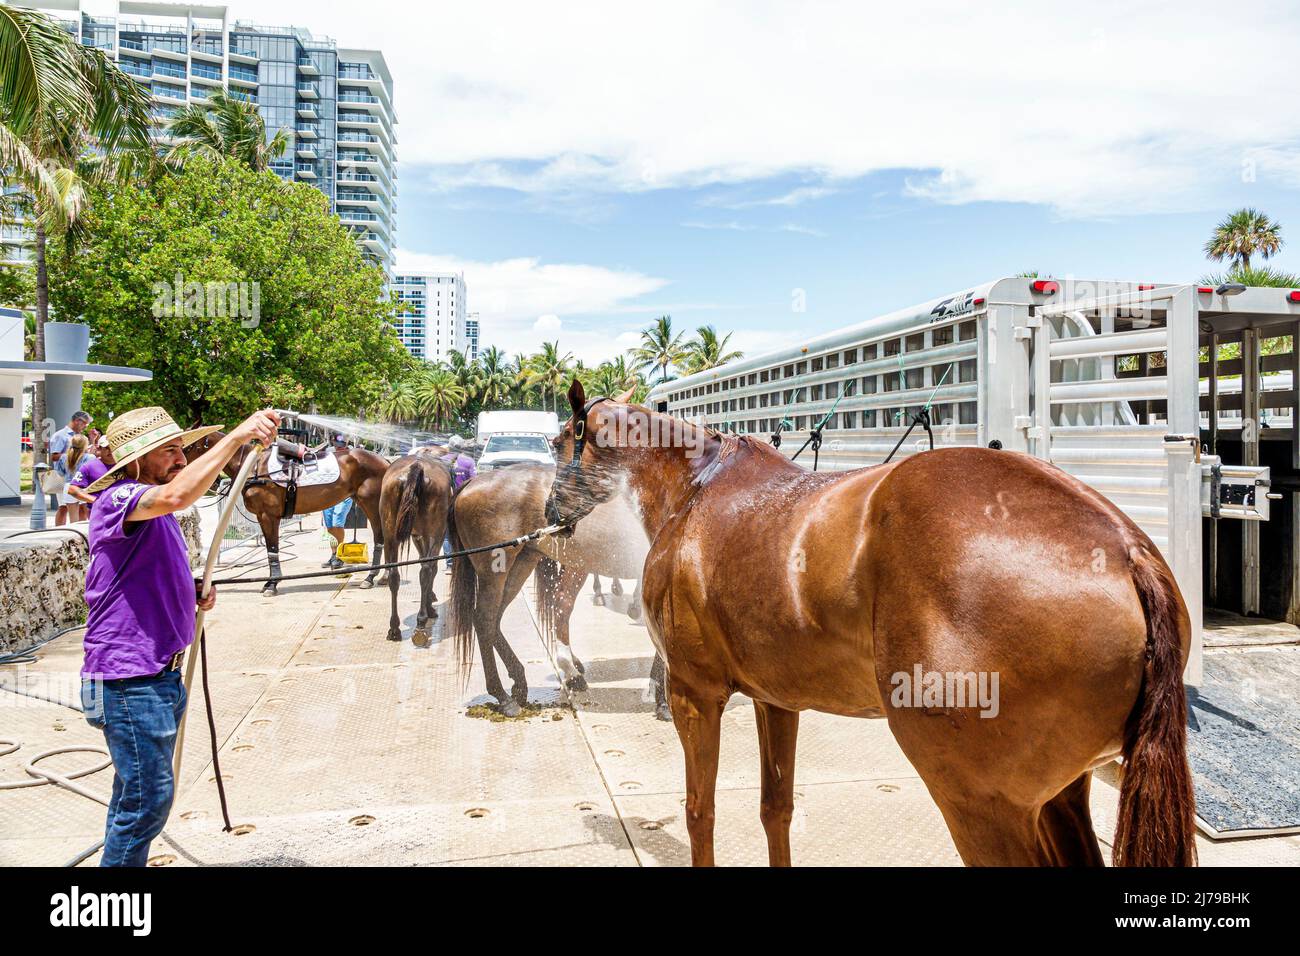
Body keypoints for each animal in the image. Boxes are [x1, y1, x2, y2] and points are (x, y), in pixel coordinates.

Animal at [187, 434, 390, 598]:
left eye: (187, 447)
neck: (253, 467)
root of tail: (385, 461)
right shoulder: (264, 517)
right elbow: (271, 550)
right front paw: (271, 582)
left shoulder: (268, 516)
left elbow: (273, 549)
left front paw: (272, 584)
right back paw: (384, 576)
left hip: (371, 505)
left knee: (381, 537)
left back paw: (371, 577)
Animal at [379, 450, 454, 647]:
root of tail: (416, 467)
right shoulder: (433, 535)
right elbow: (431, 567)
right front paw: (430, 605)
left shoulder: (416, 536)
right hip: (434, 532)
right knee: (426, 570)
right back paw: (421, 623)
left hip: (390, 534)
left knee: (394, 576)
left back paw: (395, 628)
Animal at [546, 379, 1196, 868]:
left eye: (557, 442)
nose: (551, 514)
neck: (697, 492)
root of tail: (1123, 548)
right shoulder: (775, 700)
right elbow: (775, 810)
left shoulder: (694, 694)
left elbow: (698, 813)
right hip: (1062, 795)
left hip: (985, 806)